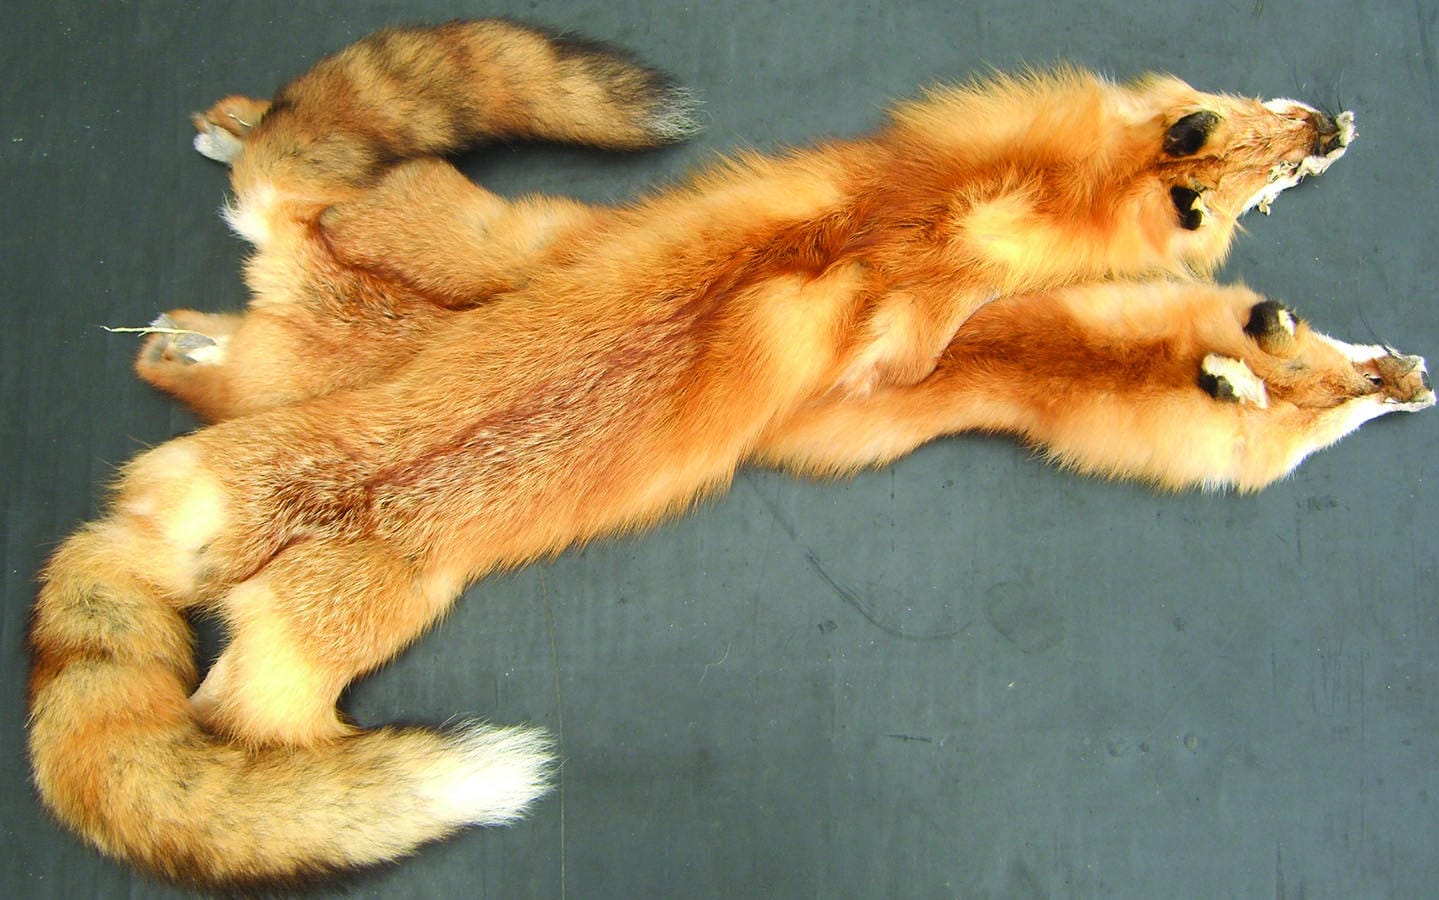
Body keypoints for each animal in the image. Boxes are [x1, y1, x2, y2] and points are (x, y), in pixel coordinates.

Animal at [26, 19, 1433, 889]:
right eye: (1274, 159)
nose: (1337, 126)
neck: (989, 196)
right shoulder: (914, 325)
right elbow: (913, 343)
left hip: (364, 268)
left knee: (235, 247)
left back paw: (216, 184)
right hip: (320, 650)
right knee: (236, 724)